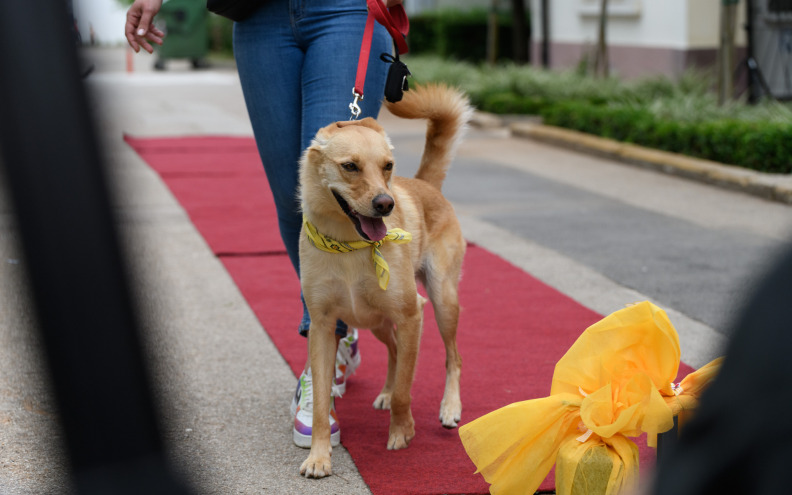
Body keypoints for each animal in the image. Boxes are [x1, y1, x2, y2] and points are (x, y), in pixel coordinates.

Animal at [296, 83, 470, 478]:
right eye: (350, 167)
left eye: (387, 166)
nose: (385, 204)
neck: (348, 244)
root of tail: (423, 184)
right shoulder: (322, 326)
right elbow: (321, 404)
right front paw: (319, 455)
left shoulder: (411, 315)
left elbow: (408, 389)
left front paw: (402, 432)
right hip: (373, 321)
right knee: (393, 351)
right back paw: (387, 392)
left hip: (442, 301)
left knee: (452, 358)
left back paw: (450, 407)